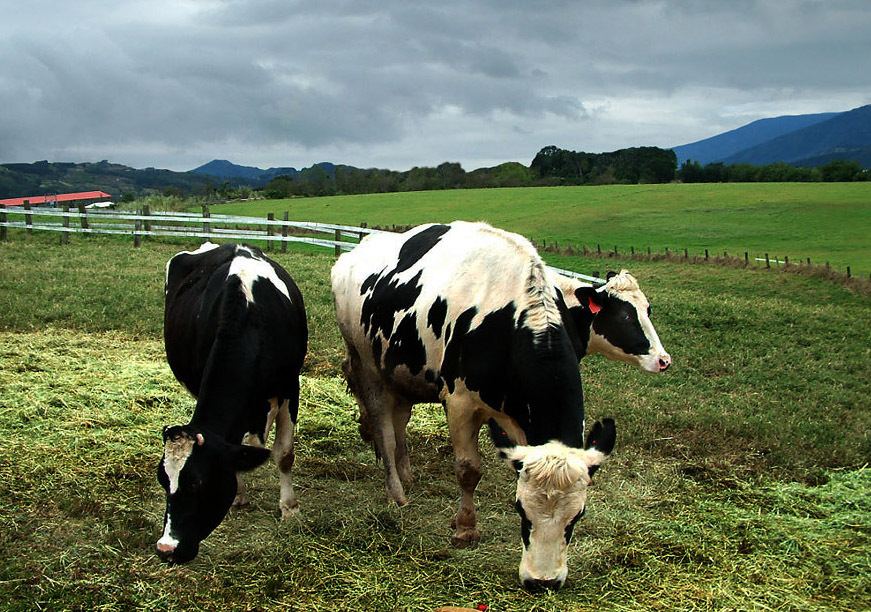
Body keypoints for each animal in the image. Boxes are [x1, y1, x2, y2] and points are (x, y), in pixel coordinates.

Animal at [157, 240, 306, 564]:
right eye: (163, 481)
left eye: (198, 483)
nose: (167, 549)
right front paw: (238, 494)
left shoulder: (291, 388)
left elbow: (284, 454)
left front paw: (289, 508)